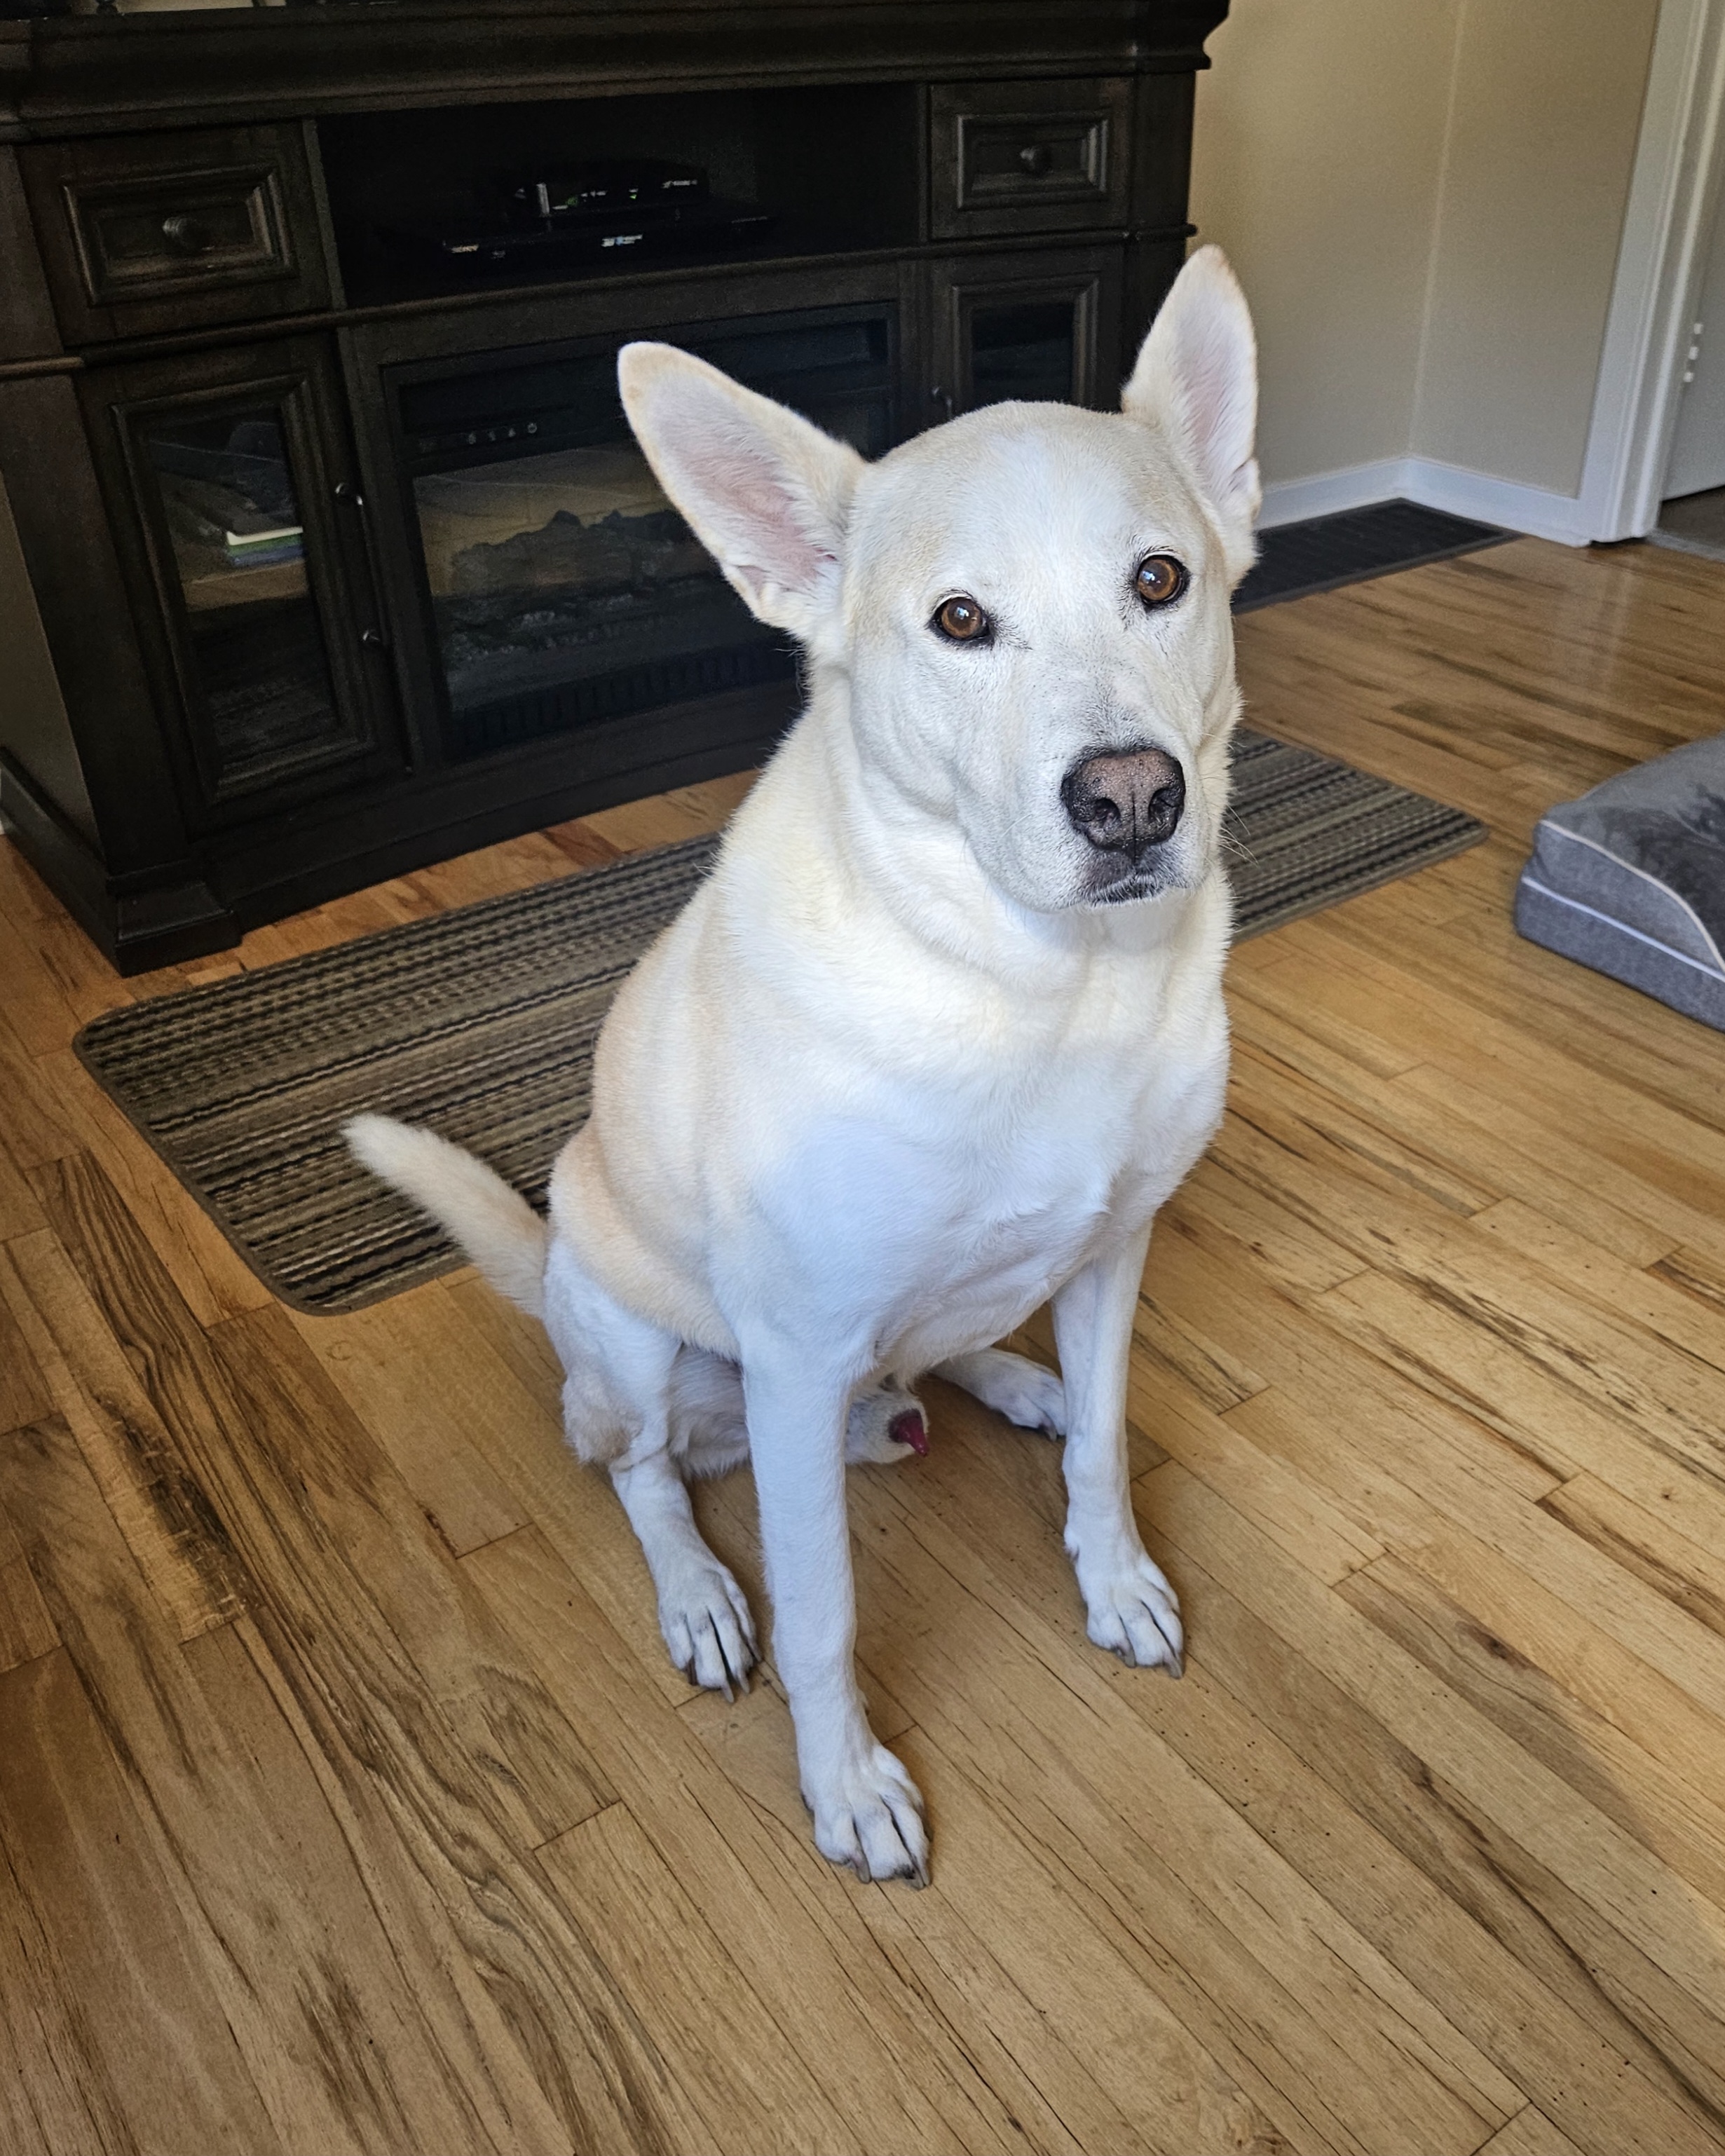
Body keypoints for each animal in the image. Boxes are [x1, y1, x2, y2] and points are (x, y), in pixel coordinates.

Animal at [349, 243, 1259, 1886]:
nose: (1132, 800)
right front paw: (847, 1785)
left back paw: (998, 1377)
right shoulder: (790, 1355)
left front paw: (1114, 1575)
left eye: (1160, 581)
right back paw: (703, 1594)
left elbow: (1105, 1446)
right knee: (640, 1470)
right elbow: (824, 1609)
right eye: (958, 621)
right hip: (640, 1344)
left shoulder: (1116, 1253)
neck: (1040, 990)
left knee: (939, 1352)